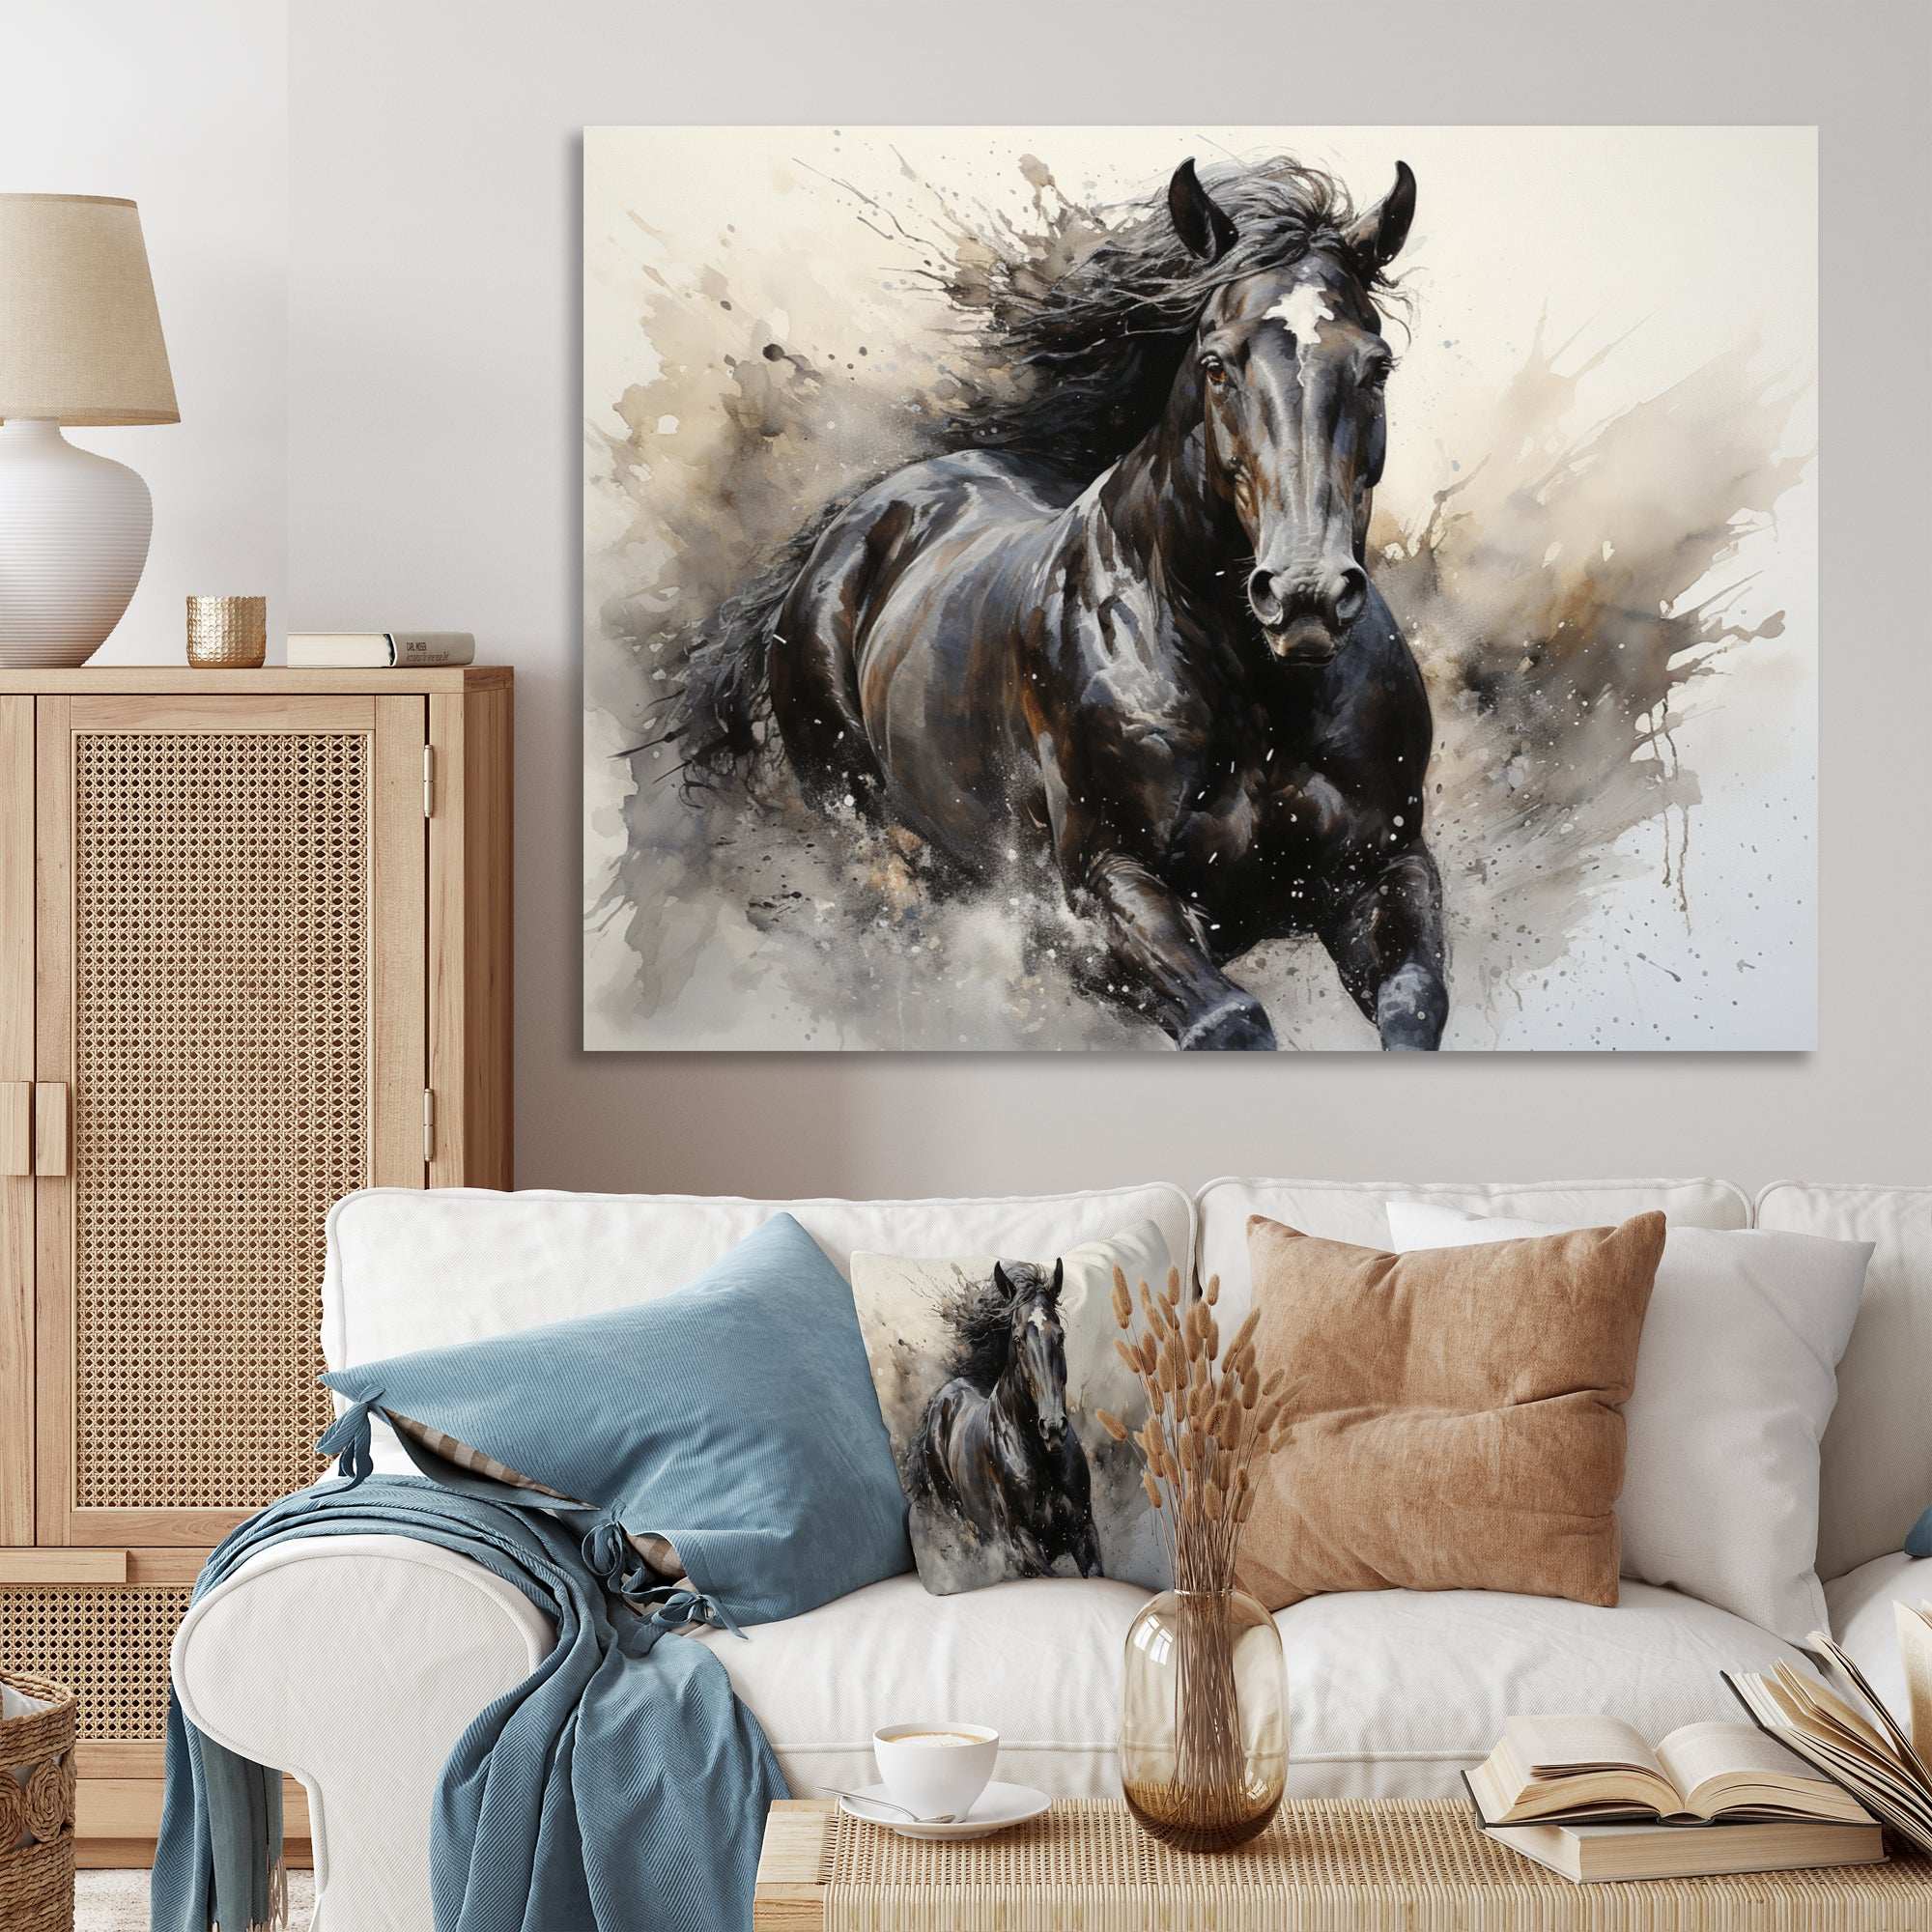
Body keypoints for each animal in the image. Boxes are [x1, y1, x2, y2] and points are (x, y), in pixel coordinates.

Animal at [669, 155, 1447, 1050]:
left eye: (1377, 366)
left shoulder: (1384, 866)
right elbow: (1229, 1021)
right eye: (1217, 364)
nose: (1305, 595)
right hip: (867, 824)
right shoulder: (1102, 894)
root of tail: (869, 513)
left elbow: (1414, 1001)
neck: (1252, 692)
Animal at [911, 1261, 1103, 1580]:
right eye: (1017, 1338)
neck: (1041, 1458)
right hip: (964, 1519)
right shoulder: (1022, 1543)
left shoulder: (1083, 1528)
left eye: (1060, 1336)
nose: (1052, 1427)